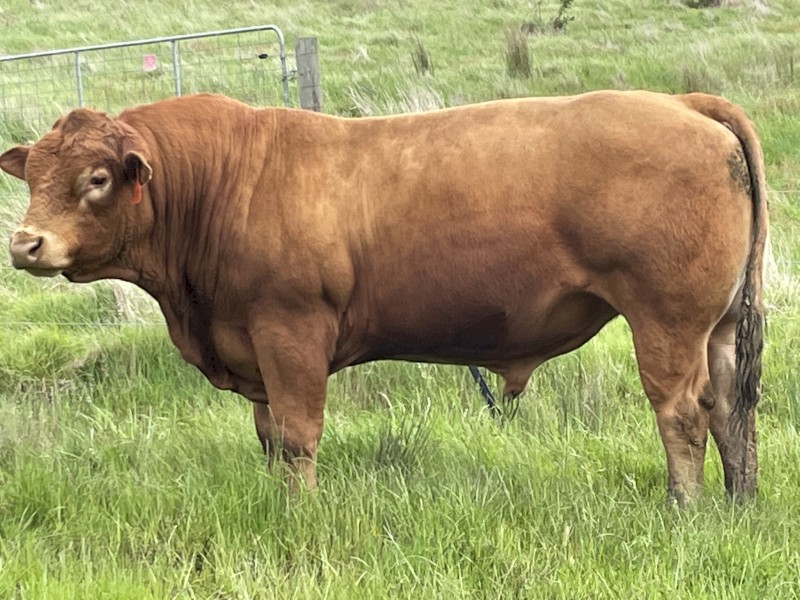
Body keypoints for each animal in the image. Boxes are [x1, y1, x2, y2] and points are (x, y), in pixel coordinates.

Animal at [1, 90, 767, 506]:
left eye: (97, 178)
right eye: (32, 174)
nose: (26, 244)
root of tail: (680, 102)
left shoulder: (290, 332)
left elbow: (299, 436)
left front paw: (302, 514)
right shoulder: (251, 349)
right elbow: (270, 437)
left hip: (666, 319)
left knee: (682, 413)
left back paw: (683, 508)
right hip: (720, 324)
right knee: (733, 408)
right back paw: (739, 503)